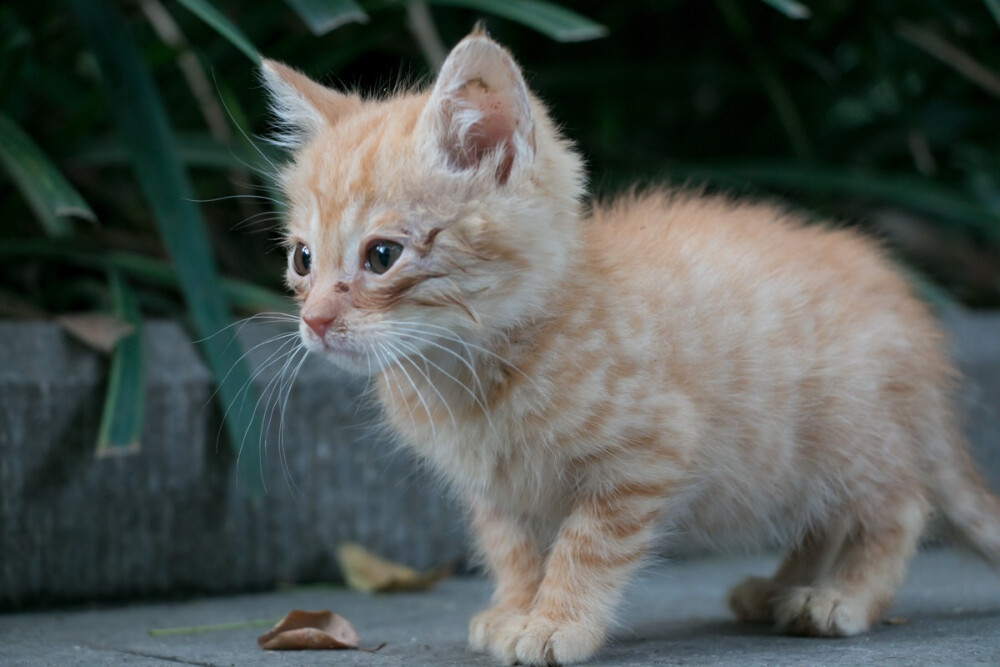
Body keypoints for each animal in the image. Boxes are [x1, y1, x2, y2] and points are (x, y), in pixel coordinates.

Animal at [260, 28, 1000, 664]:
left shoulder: (649, 452)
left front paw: (556, 622)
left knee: (898, 506)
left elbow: (585, 546)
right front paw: (517, 606)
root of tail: (911, 316)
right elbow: (512, 547)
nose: (315, 320)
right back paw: (777, 587)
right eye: (302, 259)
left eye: (381, 255)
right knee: (825, 520)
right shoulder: (497, 491)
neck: (476, 369)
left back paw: (840, 595)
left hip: (848, 437)